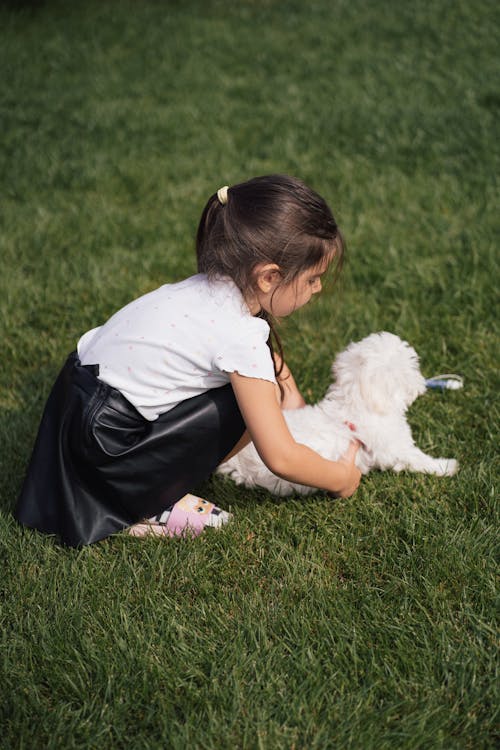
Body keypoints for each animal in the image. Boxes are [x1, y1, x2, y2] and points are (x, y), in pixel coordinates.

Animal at [217, 332, 458, 496]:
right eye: (411, 367)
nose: (422, 383)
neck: (356, 402)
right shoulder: (394, 449)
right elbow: (418, 459)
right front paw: (446, 466)